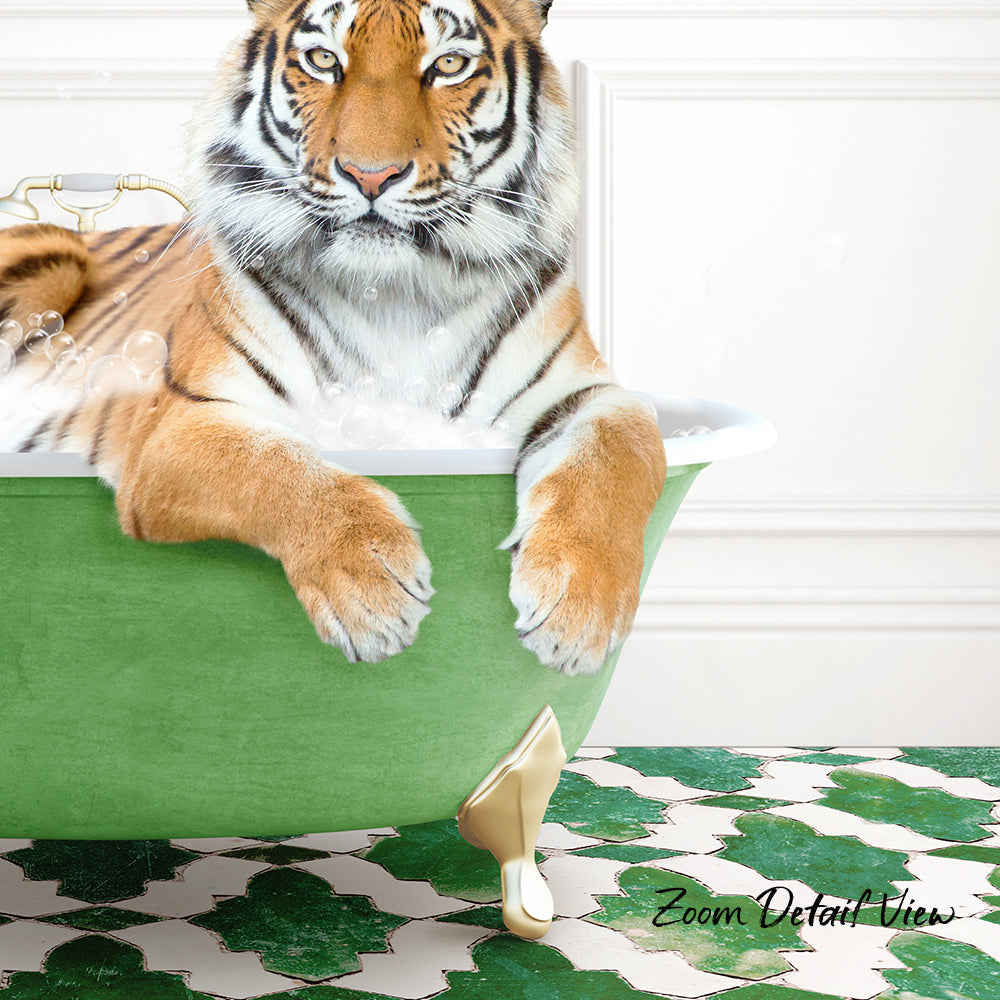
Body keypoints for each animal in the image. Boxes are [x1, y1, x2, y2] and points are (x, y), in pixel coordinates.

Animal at [0, 0, 666, 676]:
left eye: (448, 64)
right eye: (324, 60)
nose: (371, 176)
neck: (395, 296)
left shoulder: (587, 394)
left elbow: (621, 453)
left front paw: (578, 610)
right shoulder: (181, 423)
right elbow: (276, 467)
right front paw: (372, 591)